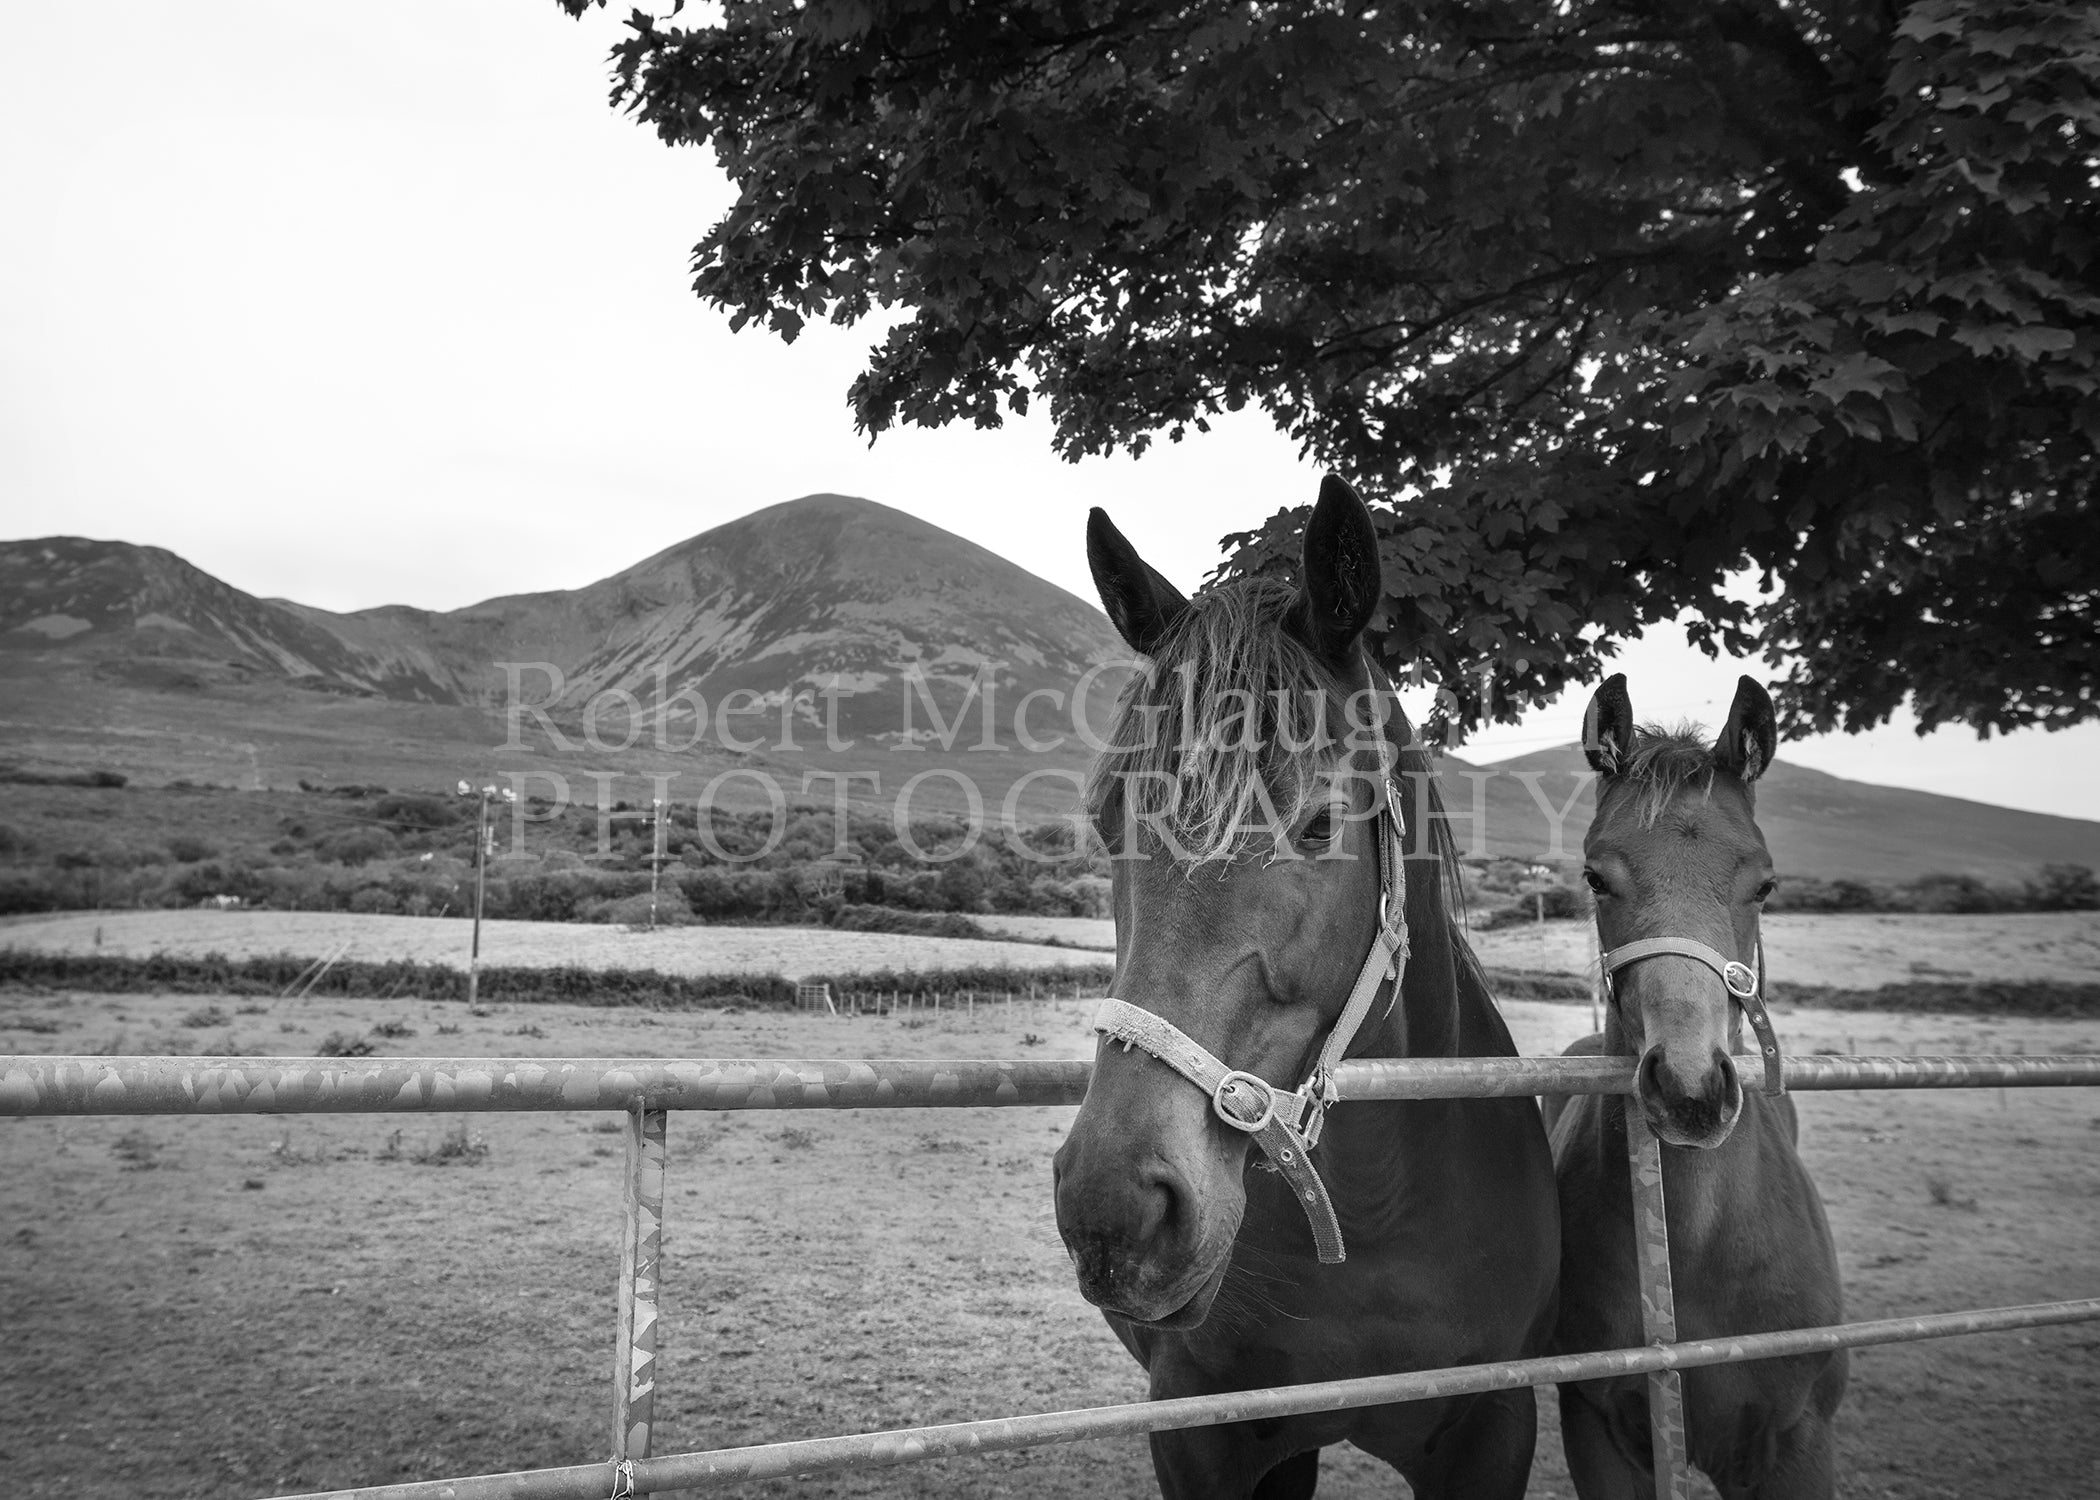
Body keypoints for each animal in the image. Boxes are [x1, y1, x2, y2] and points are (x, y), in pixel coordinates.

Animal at [1051, 476, 1560, 1499]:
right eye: (1107, 817)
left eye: (1321, 821)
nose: (1114, 1209)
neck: (1373, 1214)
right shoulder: (1204, 1438)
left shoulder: (1495, 1425)